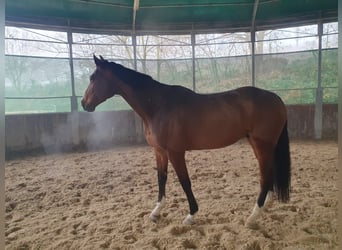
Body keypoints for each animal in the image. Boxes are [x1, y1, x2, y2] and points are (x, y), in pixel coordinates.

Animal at [81, 55, 290, 229]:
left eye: (93, 78)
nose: (84, 103)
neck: (157, 106)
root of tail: (275, 98)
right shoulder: (160, 151)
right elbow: (161, 178)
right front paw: (156, 212)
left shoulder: (175, 152)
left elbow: (185, 182)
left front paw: (191, 215)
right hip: (258, 145)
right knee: (268, 174)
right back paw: (266, 205)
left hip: (262, 145)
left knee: (264, 177)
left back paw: (253, 217)